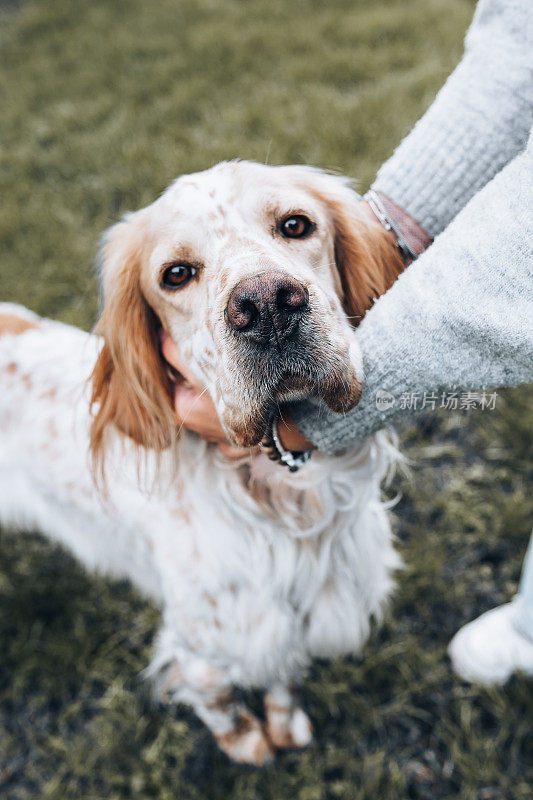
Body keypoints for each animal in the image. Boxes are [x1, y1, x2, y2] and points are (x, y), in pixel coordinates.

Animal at [0, 159, 404, 764]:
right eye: (176, 274)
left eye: (295, 225)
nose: (266, 304)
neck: (288, 502)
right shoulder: (204, 642)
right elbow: (218, 697)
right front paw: (248, 745)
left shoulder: (290, 623)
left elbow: (282, 679)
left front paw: (285, 724)